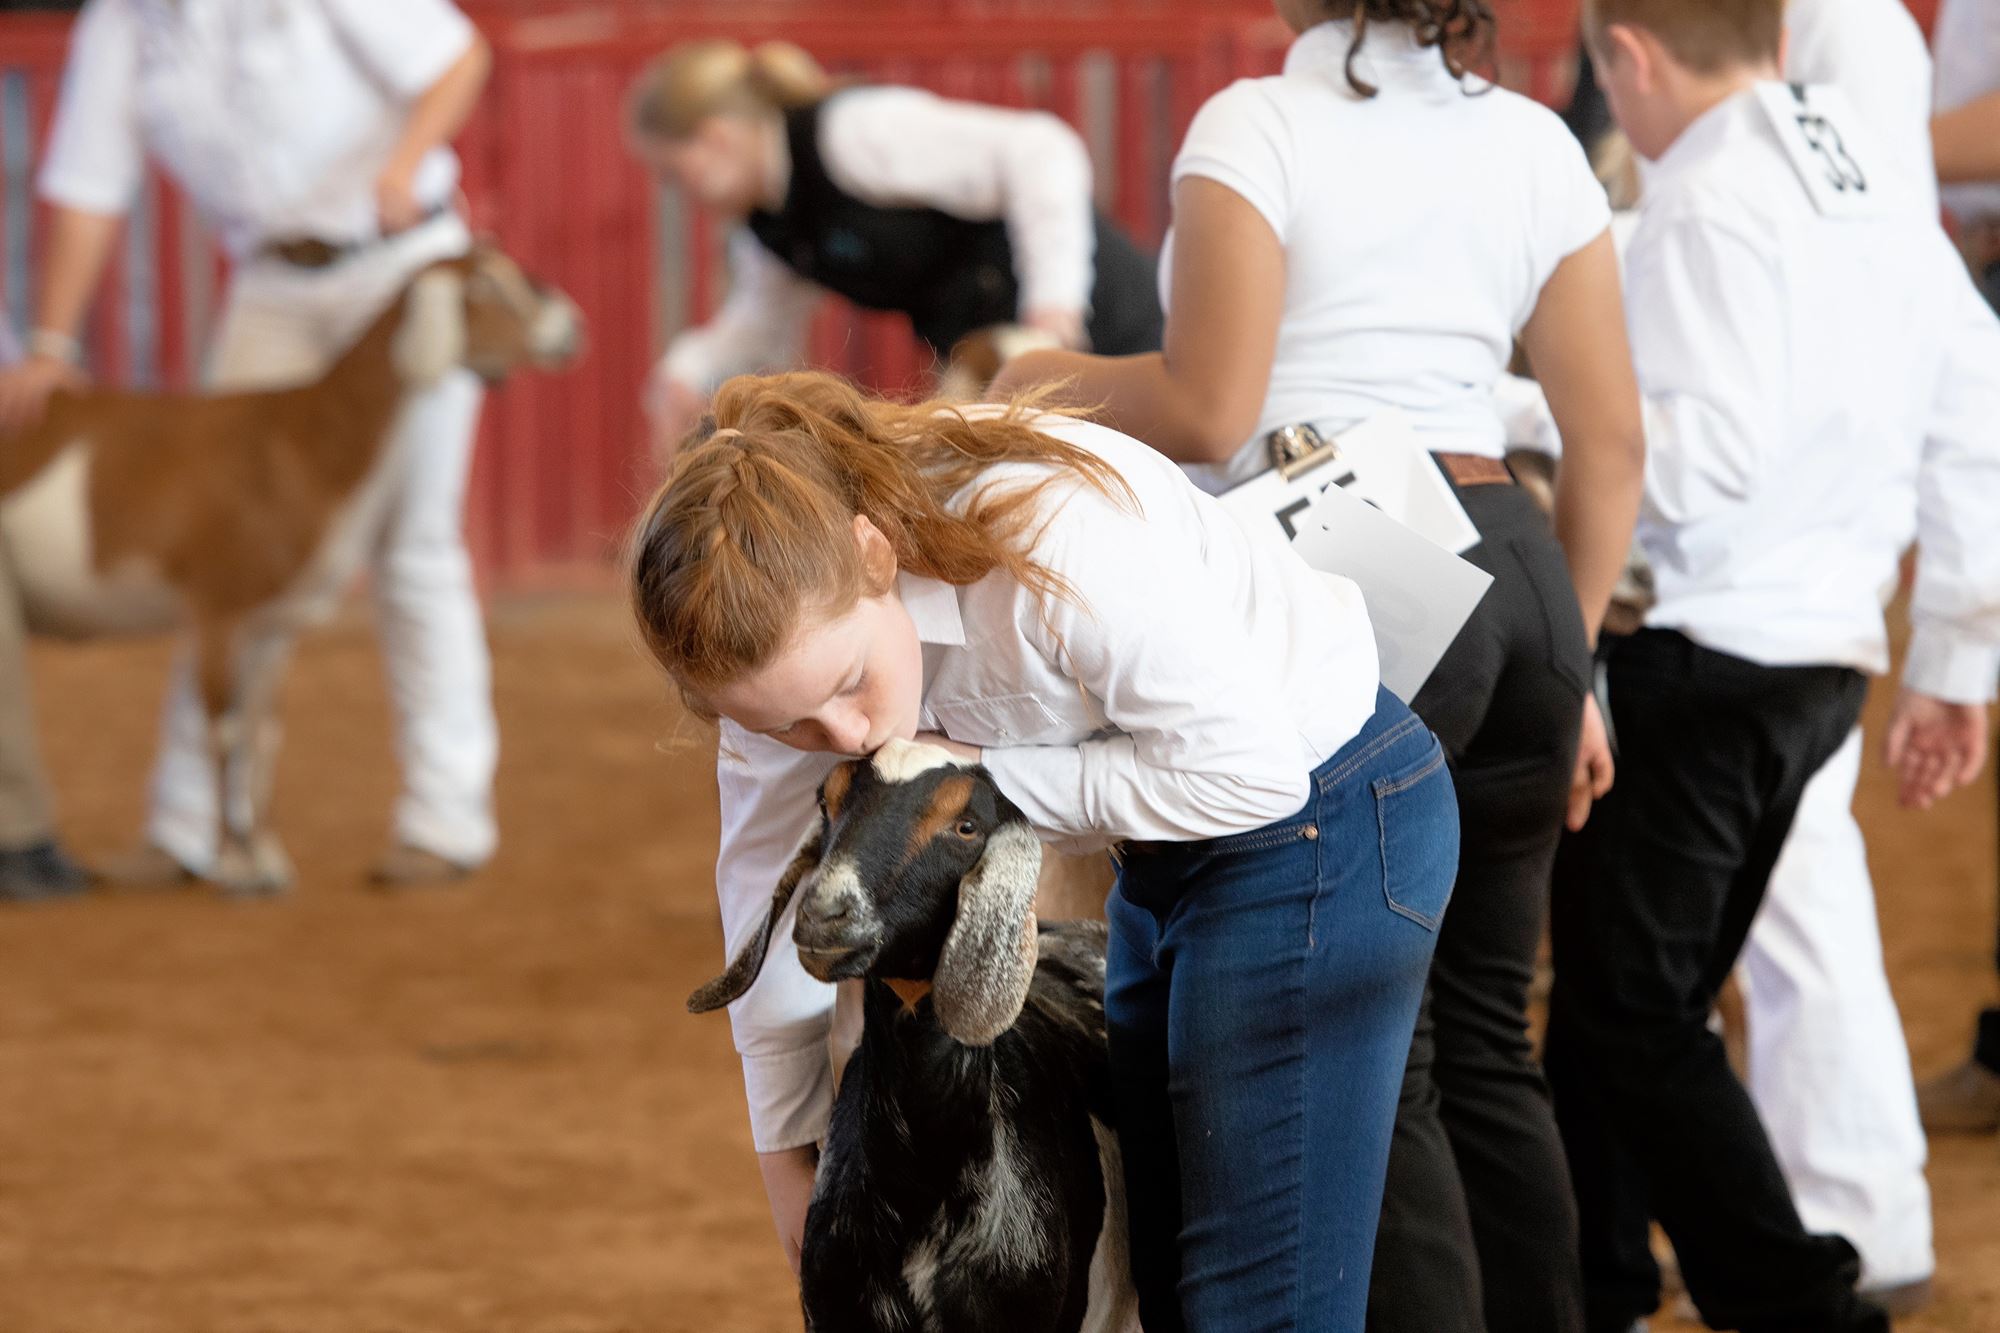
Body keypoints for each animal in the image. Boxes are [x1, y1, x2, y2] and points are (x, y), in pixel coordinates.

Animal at [0, 244, 580, 896]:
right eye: (490, 288)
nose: (572, 330)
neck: (297, 443)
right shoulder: (219, 608)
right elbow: (226, 732)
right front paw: (236, 868)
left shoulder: (272, 624)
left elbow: (265, 738)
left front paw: (268, 858)